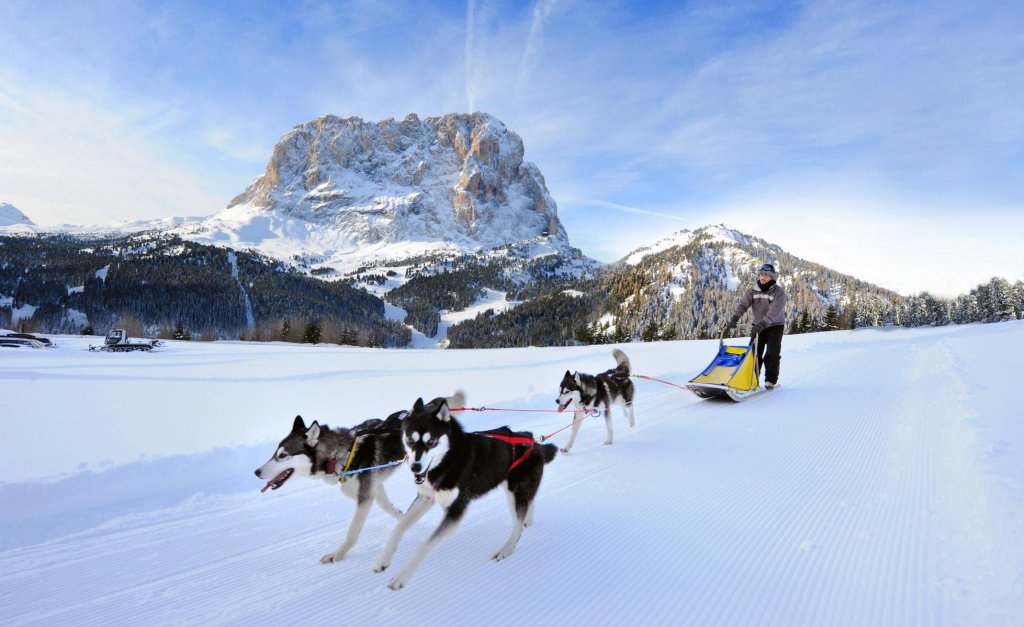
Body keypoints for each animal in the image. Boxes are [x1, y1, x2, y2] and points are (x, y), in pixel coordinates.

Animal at [256, 411, 407, 561]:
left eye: (282, 455)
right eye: (275, 453)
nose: (256, 472)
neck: (344, 455)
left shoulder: (365, 497)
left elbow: (352, 532)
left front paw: (337, 554)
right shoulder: (373, 488)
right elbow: (389, 508)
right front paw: (405, 521)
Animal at [372, 389, 557, 590]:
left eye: (431, 441)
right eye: (410, 440)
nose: (415, 467)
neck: (448, 460)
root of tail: (534, 442)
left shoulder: (455, 511)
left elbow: (424, 545)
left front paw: (401, 577)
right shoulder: (425, 498)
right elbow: (398, 527)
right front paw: (383, 560)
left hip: (515, 493)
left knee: (517, 526)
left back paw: (506, 549)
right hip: (513, 489)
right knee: (528, 505)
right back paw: (527, 522)